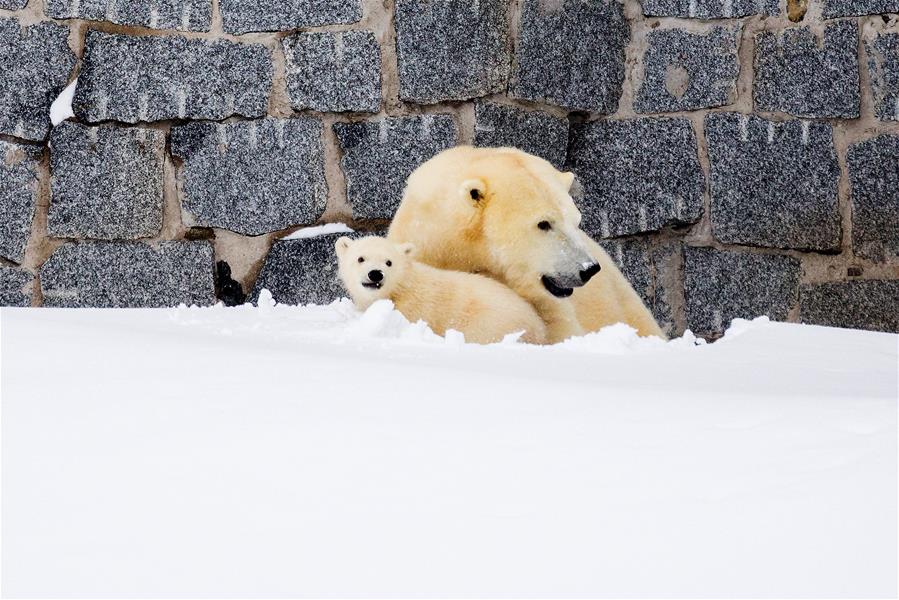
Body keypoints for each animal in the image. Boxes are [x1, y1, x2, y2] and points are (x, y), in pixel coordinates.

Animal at [336, 236, 548, 344]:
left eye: (389, 262)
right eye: (361, 258)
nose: (375, 274)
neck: (400, 288)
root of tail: (538, 327)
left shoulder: (413, 310)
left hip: (490, 324)